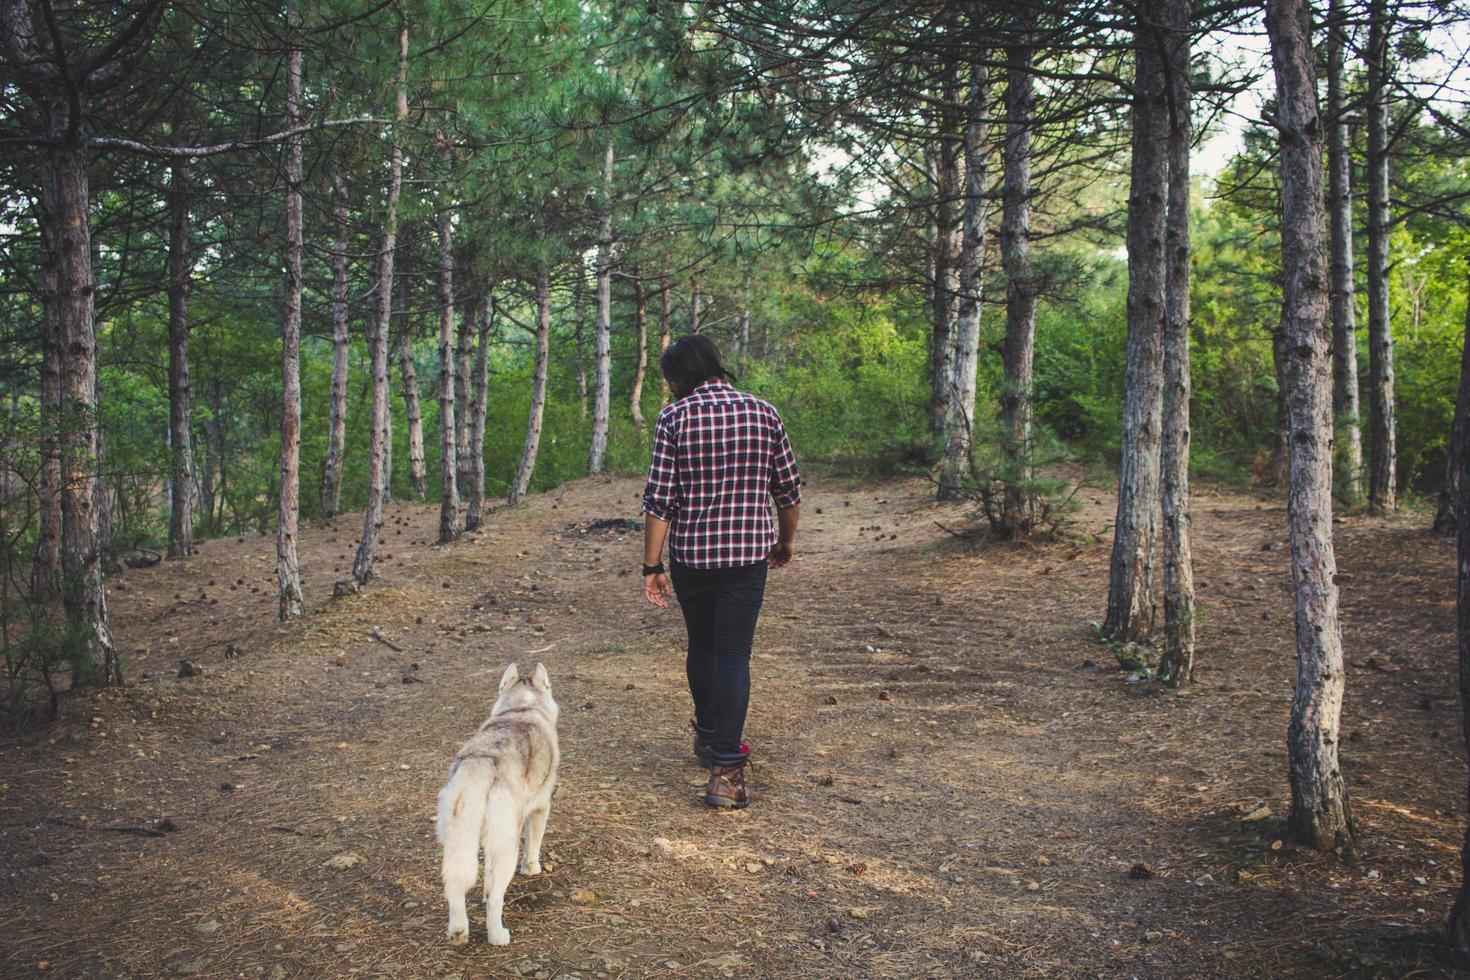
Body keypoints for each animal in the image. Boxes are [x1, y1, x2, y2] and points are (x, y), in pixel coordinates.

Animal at [432, 664, 558, 946]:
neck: (523, 707)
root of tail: (481, 763)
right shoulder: (540, 808)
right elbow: (533, 844)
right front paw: (531, 868)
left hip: (457, 839)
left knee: (455, 883)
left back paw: (458, 932)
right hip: (505, 847)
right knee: (496, 899)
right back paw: (498, 935)